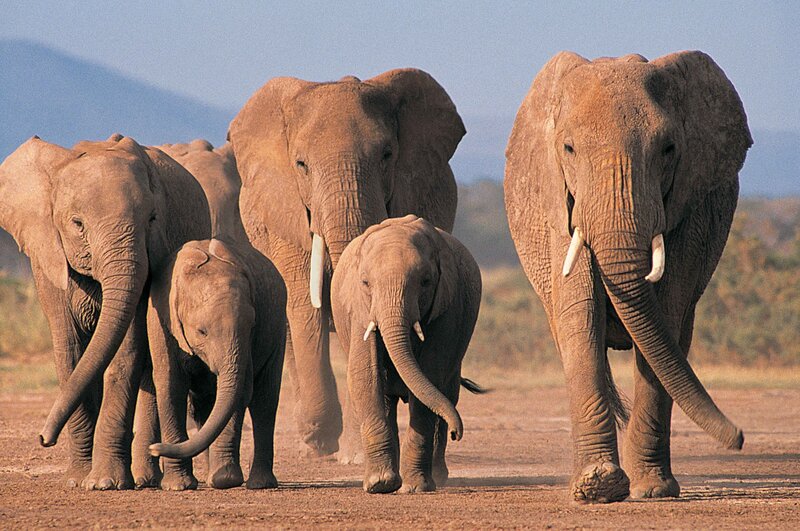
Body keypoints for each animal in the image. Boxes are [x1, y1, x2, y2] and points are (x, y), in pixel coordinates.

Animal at [0, 133, 211, 489]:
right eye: (77, 224)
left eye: (152, 219)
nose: (44, 438)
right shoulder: (49, 260)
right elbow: (71, 351)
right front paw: (77, 480)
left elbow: (125, 352)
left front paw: (104, 483)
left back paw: (146, 479)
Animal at [146, 238, 286, 490]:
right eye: (202, 331)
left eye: (251, 325)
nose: (153, 449)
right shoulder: (161, 320)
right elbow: (170, 387)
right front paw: (177, 486)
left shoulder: (248, 338)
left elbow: (241, 392)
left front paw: (225, 481)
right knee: (203, 405)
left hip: (279, 325)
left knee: (265, 402)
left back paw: (259, 484)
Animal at [228, 68, 465, 458]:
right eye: (301, 165)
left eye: (386, 155)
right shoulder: (285, 217)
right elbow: (304, 306)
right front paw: (320, 437)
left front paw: (353, 454)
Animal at [330, 215, 482, 493]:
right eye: (365, 283)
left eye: (425, 282)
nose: (458, 433)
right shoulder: (359, 309)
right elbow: (366, 375)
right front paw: (380, 485)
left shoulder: (449, 306)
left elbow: (431, 375)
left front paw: (415, 488)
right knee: (389, 398)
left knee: (447, 393)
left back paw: (437, 477)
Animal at [504, 51, 752, 503]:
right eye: (568, 148)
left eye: (668, 149)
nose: (740, 438)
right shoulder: (559, 206)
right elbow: (580, 316)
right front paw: (597, 485)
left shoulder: (690, 209)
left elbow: (666, 317)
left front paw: (652, 490)